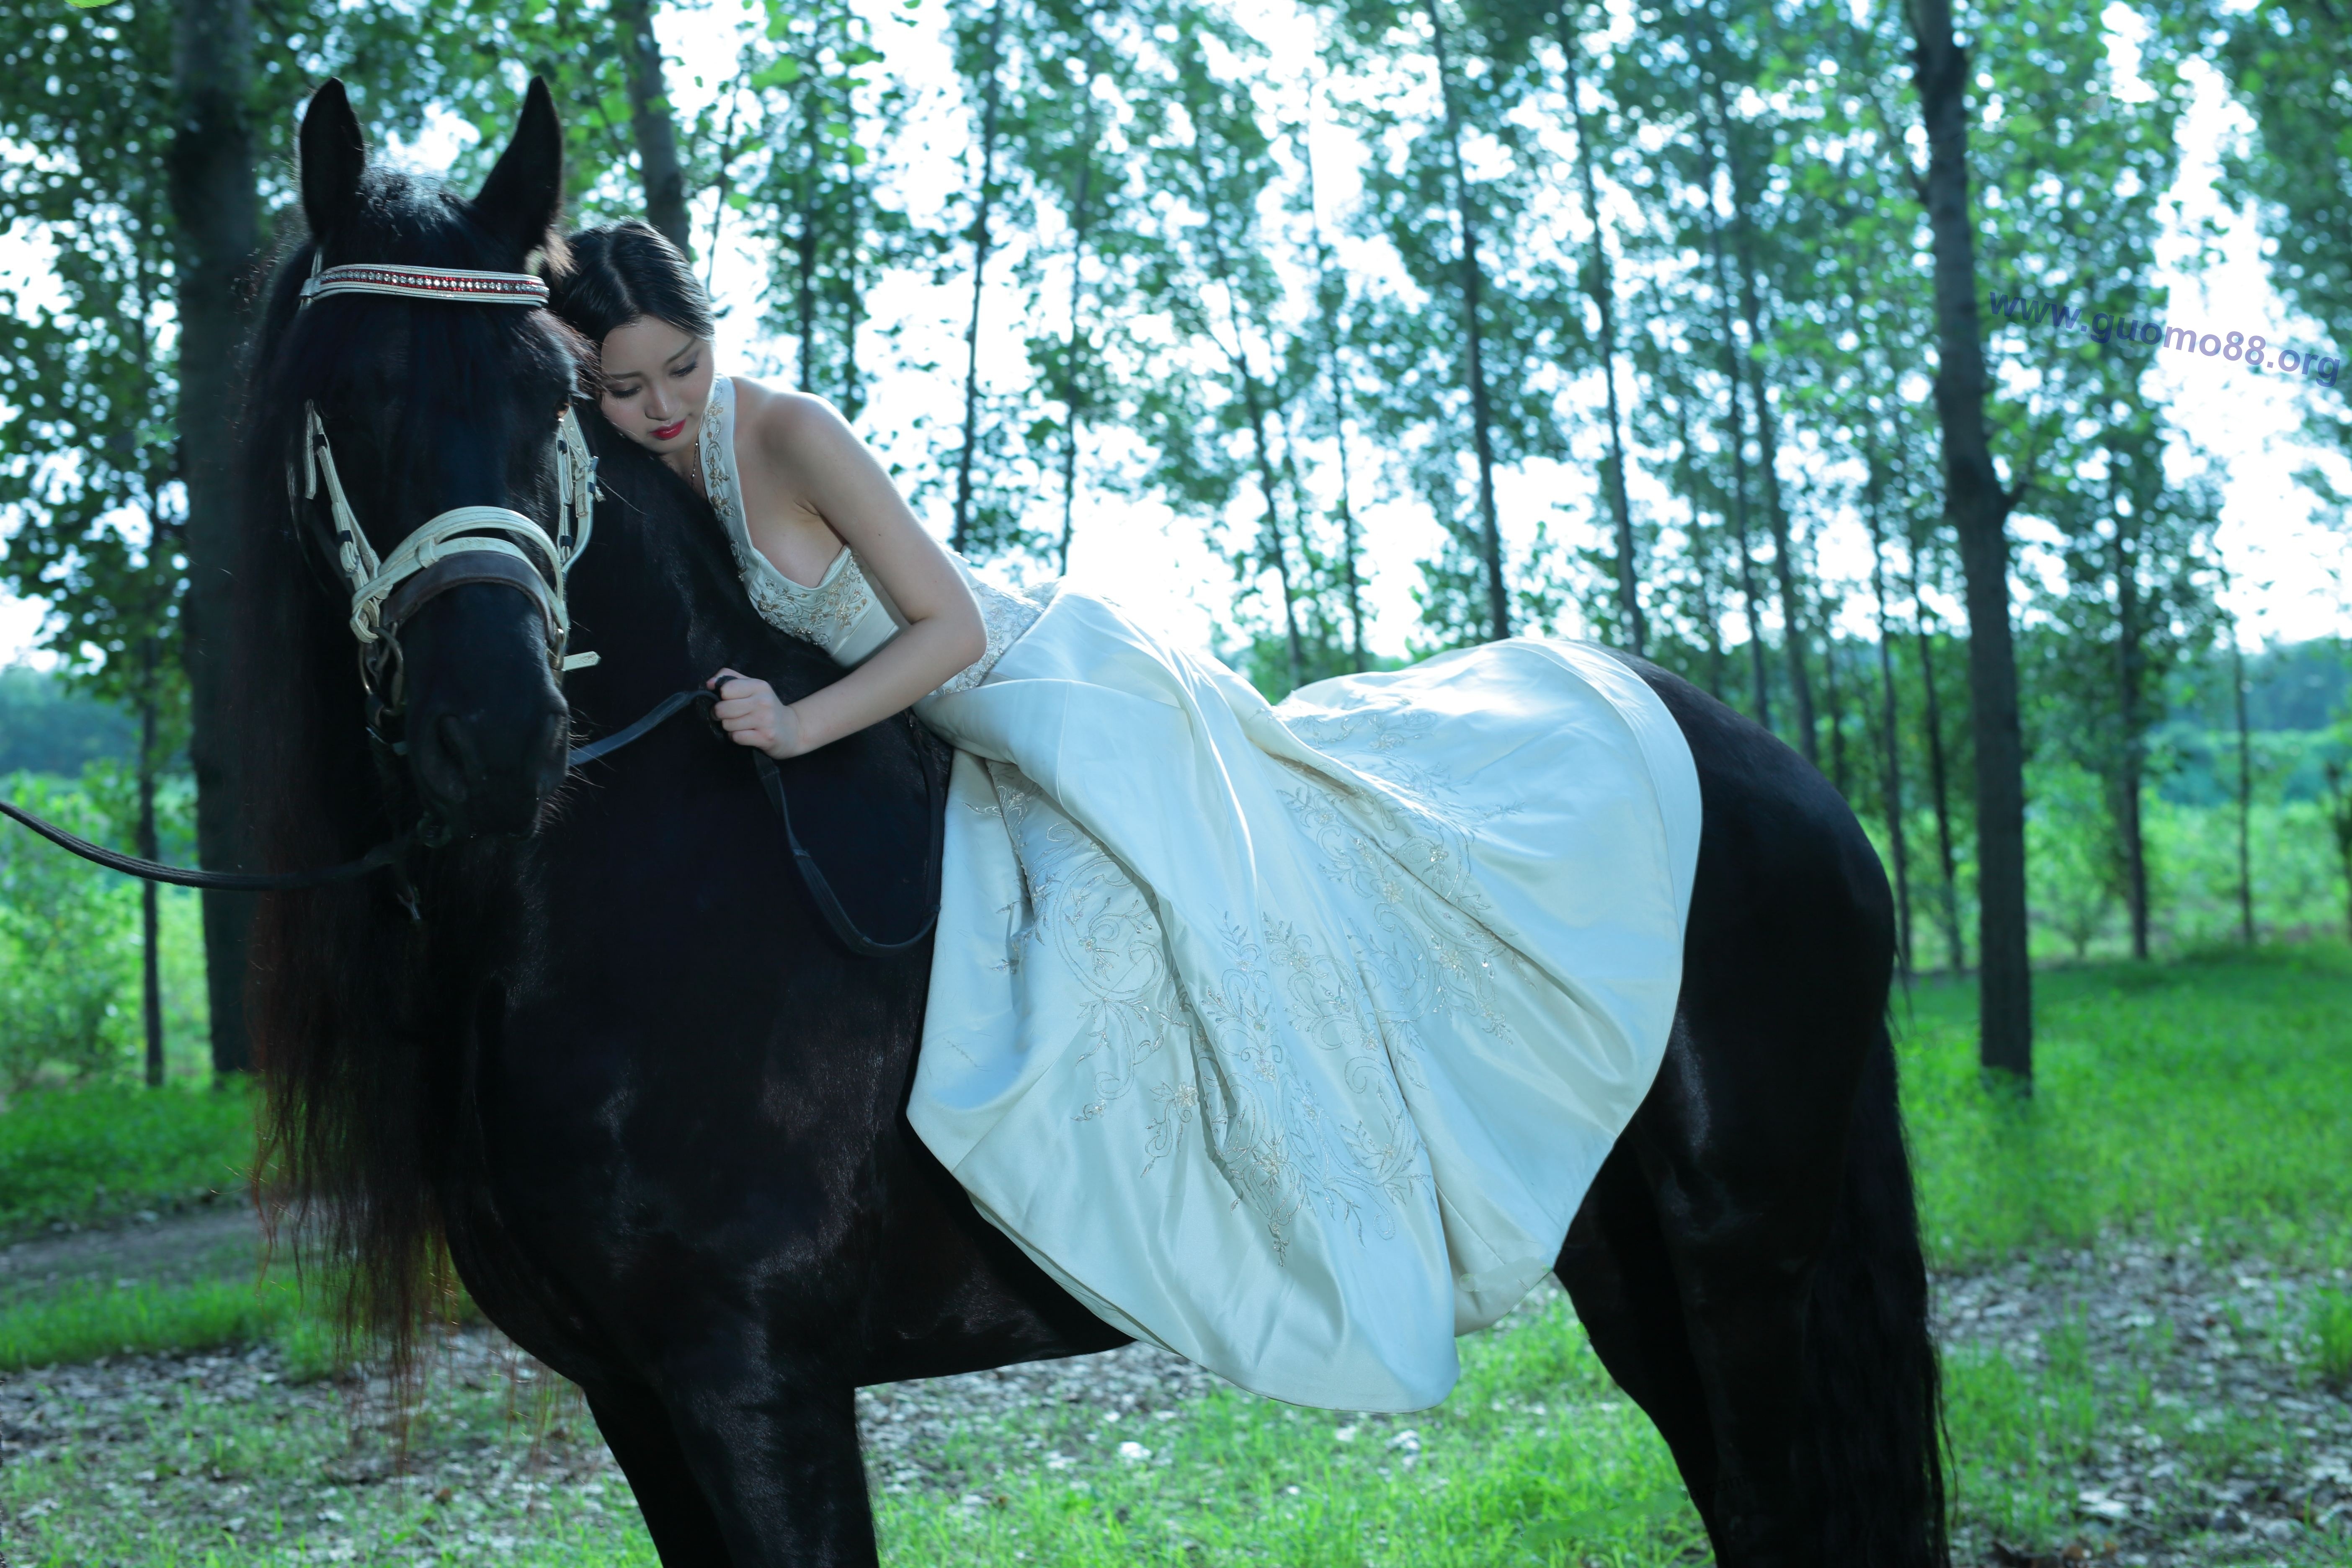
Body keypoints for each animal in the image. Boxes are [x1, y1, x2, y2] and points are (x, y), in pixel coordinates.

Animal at [239, 83, 1947, 1568]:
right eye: (347, 398)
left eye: (547, 399)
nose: (496, 733)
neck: (663, 890)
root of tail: (1747, 757)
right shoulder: (634, 1398)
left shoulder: (752, 1382)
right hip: (1626, 1253)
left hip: (1742, 1246)